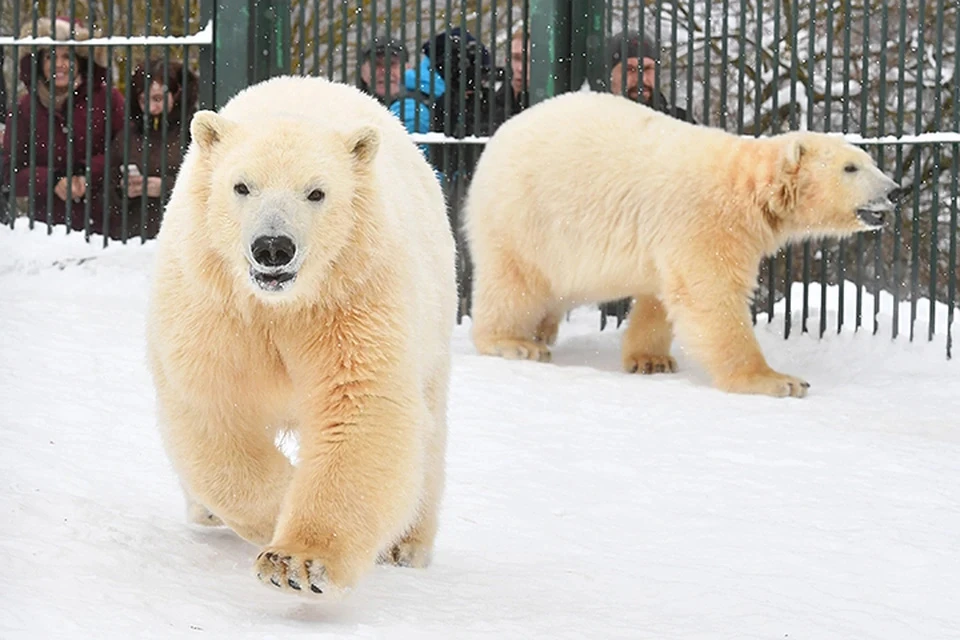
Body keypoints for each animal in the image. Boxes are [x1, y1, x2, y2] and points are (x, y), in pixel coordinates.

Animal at [144, 74, 460, 596]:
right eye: (242, 186)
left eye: (316, 193)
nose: (273, 247)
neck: (281, 305)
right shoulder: (215, 304)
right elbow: (213, 407)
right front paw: (279, 508)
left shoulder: (351, 295)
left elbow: (360, 407)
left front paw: (297, 562)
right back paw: (205, 511)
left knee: (429, 433)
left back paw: (406, 545)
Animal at [462, 90, 904, 400]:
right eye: (851, 167)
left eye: (867, 160)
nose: (894, 191)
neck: (745, 188)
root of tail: (496, 141)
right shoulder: (703, 222)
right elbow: (710, 297)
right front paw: (776, 380)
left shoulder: (673, 237)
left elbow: (662, 296)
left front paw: (651, 360)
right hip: (523, 216)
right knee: (514, 282)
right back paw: (515, 342)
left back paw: (543, 331)